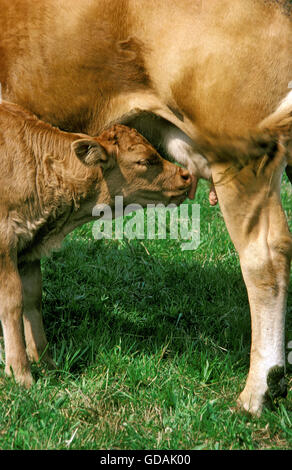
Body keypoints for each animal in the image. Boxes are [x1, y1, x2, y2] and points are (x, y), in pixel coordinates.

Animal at [0, 102, 192, 390]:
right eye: (144, 160)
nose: (186, 175)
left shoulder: (30, 248)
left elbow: (32, 299)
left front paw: (46, 363)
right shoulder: (5, 243)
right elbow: (12, 302)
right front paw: (20, 373)